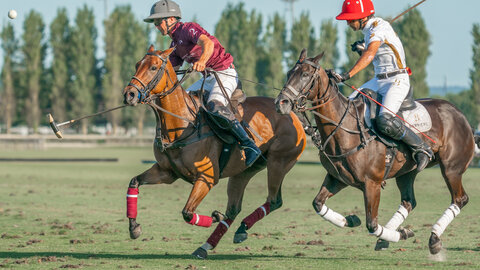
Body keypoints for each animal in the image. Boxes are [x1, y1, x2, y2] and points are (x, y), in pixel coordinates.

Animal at [122, 45, 306, 258]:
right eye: (137, 64)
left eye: (153, 67)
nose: (129, 94)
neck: (181, 123)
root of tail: (293, 115)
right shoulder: (166, 172)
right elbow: (134, 182)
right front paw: (134, 227)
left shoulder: (206, 176)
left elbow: (187, 212)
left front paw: (216, 215)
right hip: (243, 172)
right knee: (234, 208)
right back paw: (213, 243)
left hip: (279, 162)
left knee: (275, 200)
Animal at [276, 49, 474, 255]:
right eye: (289, 73)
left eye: (305, 74)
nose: (281, 102)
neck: (345, 129)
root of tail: (459, 114)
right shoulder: (338, 178)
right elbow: (318, 203)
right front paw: (351, 220)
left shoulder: (372, 183)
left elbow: (371, 224)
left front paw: (402, 234)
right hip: (407, 172)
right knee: (409, 201)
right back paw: (388, 237)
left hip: (452, 168)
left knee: (460, 198)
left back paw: (434, 238)